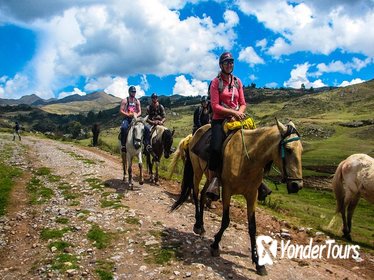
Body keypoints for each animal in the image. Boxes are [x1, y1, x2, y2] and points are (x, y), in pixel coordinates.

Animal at [171, 118, 302, 276]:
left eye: (301, 150)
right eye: (288, 149)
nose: (296, 185)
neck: (247, 159)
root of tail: (195, 134)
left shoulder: (252, 195)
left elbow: (252, 227)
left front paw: (258, 263)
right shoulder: (227, 191)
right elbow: (225, 221)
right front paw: (215, 245)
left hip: (210, 176)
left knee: (203, 194)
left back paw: (201, 226)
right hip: (197, 171)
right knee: (196, 194)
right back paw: (197, 225)